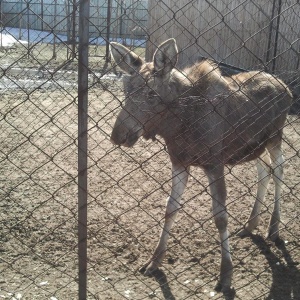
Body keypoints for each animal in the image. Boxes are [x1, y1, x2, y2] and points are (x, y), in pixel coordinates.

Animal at [109, 39, 292, 296]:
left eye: (152, 92)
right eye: (126, 91)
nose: (118, 135)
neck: (180, 122)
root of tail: (287, 88)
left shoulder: (214, 164)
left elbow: (220, 218)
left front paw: (226, 275)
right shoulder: (179, 162)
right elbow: (170, 208)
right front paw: (154, 262)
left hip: (275, 137)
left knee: (279, 170)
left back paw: (273, 228)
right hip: (256, 147)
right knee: (264, 172)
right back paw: (250, 224)